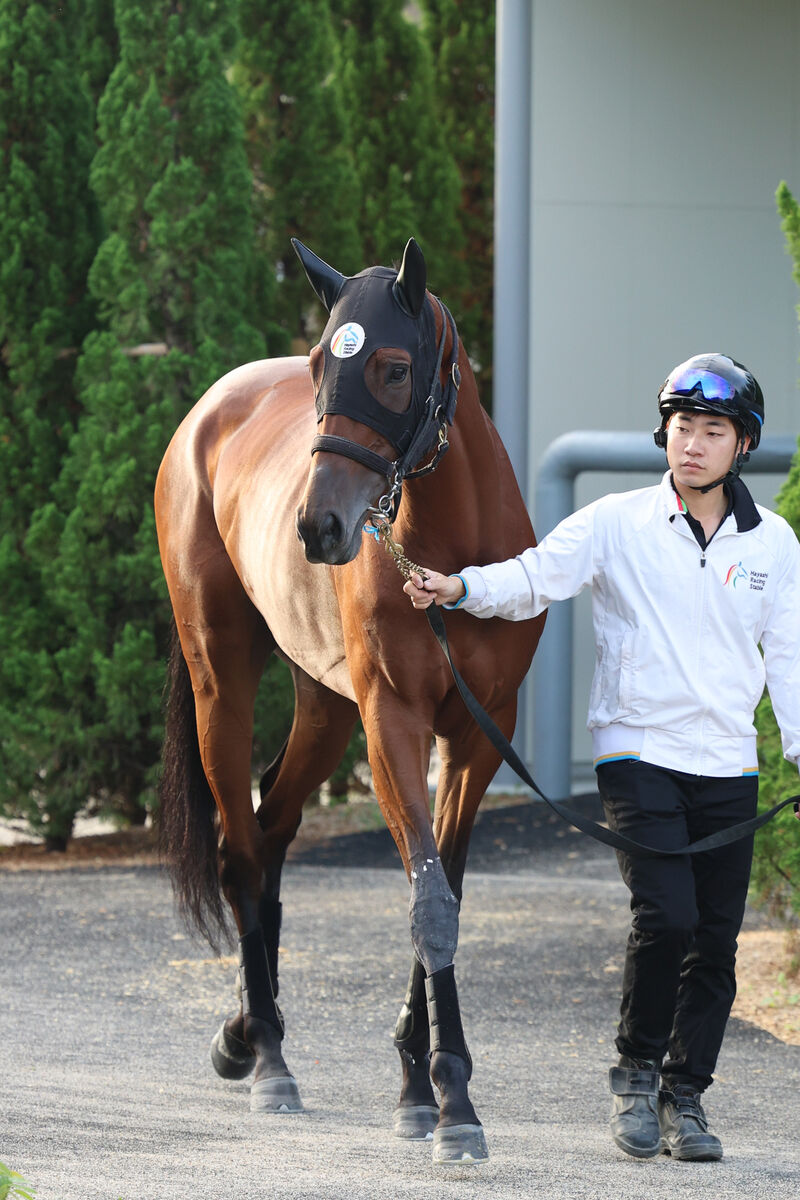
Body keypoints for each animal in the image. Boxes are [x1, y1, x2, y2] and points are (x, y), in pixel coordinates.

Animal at [154, 236, 546, 1161]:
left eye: (395, 368)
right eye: (316, 364)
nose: (317, 526)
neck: (451, 555)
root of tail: (204, 415)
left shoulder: (477, 736)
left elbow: (444, 892)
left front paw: (419, 1081)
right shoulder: (393, 725)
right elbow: (428, 901)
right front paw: (450, 1102)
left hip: (325, 706)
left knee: (273, 822)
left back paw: (245, 1031)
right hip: (224, 679)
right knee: (241, 847)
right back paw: (267, 1059)